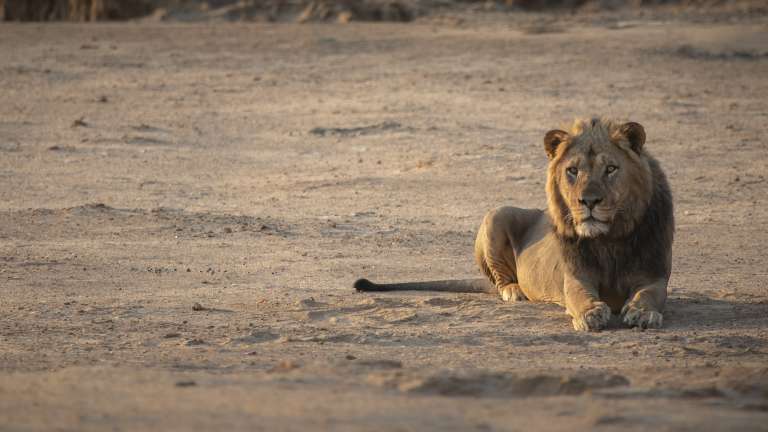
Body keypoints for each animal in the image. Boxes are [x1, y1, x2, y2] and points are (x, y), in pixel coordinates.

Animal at [354, 118, 674, 331]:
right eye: (572, 170)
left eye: (611, 169)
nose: (589, 201)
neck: (610, 239)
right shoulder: (574, 277)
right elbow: (580, 295)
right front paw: (591, 313)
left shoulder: (654, 274)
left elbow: (650, 294)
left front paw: (642, 313)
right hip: (496, 214)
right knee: (500, 281)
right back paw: (515, 291)